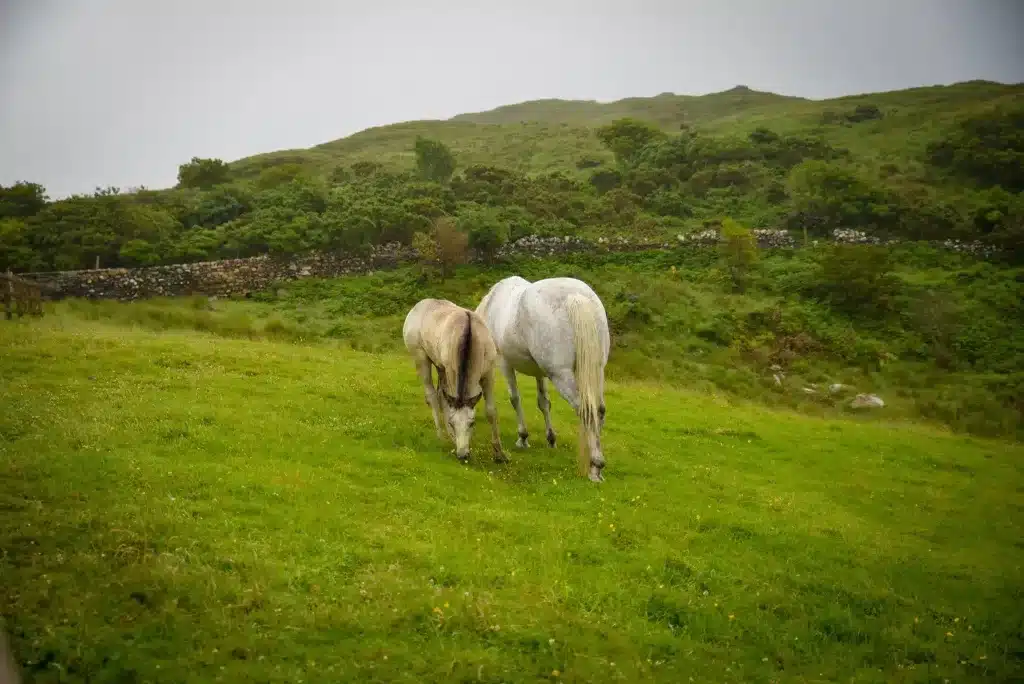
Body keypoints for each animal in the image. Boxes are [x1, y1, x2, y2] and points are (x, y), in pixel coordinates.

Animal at [403, 296, 507, 462]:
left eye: (472, 423)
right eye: (452, 423)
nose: (463, 455)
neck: (471, 339)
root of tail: (420, 305)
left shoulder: (489, 373)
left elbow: (491, 411)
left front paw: (499, 453)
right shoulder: (452, 372)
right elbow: (448, 404)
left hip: (440, 367)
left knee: (440, 394)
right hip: (420, 357)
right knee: (433, 396)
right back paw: (442, 436)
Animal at [477, 276, 610, 481]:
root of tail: (575, 297)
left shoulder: (505, 363)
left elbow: (515, 399)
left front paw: (523, 437)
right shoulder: (540, 373)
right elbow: (544, 403)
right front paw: (551, 439)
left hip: (561, 375)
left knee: (587, 410)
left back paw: (595, 465)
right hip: (596, 371)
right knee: (599, 410)